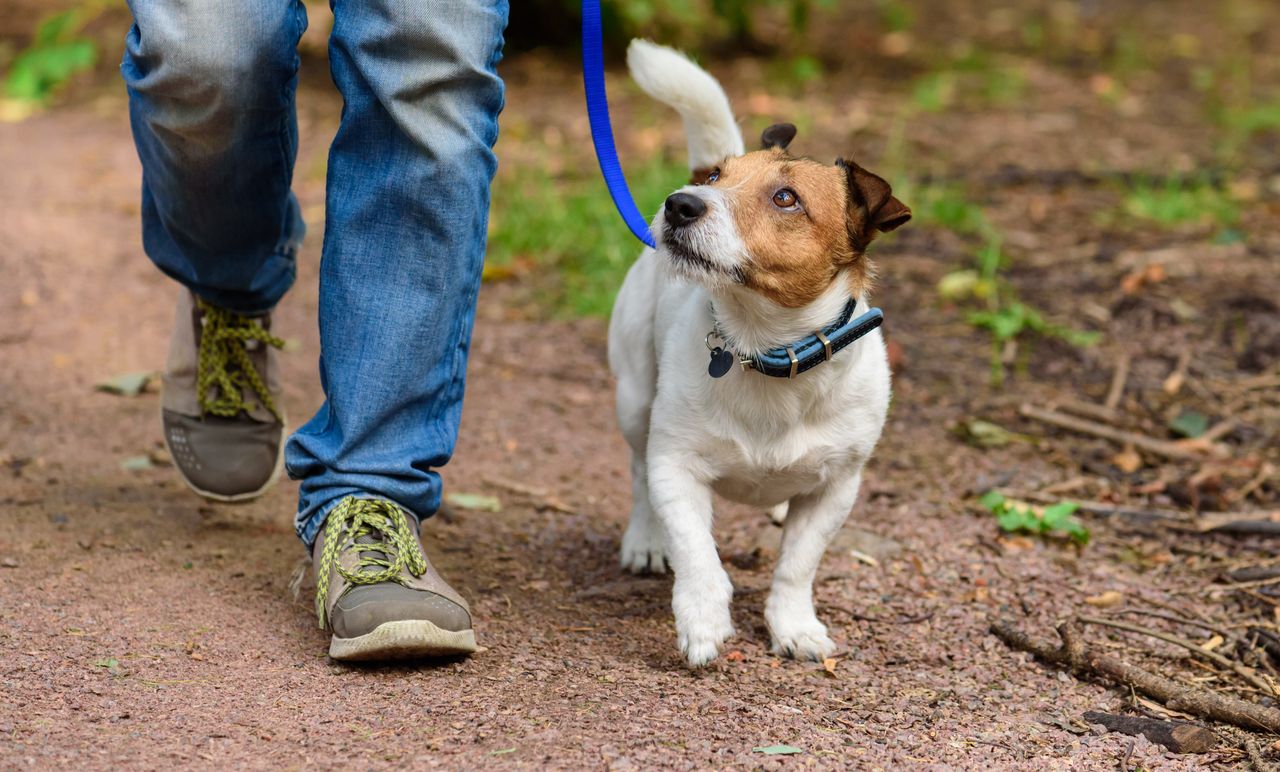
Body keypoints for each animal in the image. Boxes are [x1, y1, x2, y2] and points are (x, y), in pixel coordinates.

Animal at [609, 42, 911, 665]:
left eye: (786, 198)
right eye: (719, 177)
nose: (679, 203)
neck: (763, 348)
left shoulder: (836, 489)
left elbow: (797, 565)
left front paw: (794, 626)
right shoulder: (676, 467)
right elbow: (697, 552)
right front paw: (702, 620)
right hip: (633, 397)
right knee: (637, 472)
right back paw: (645, 539)